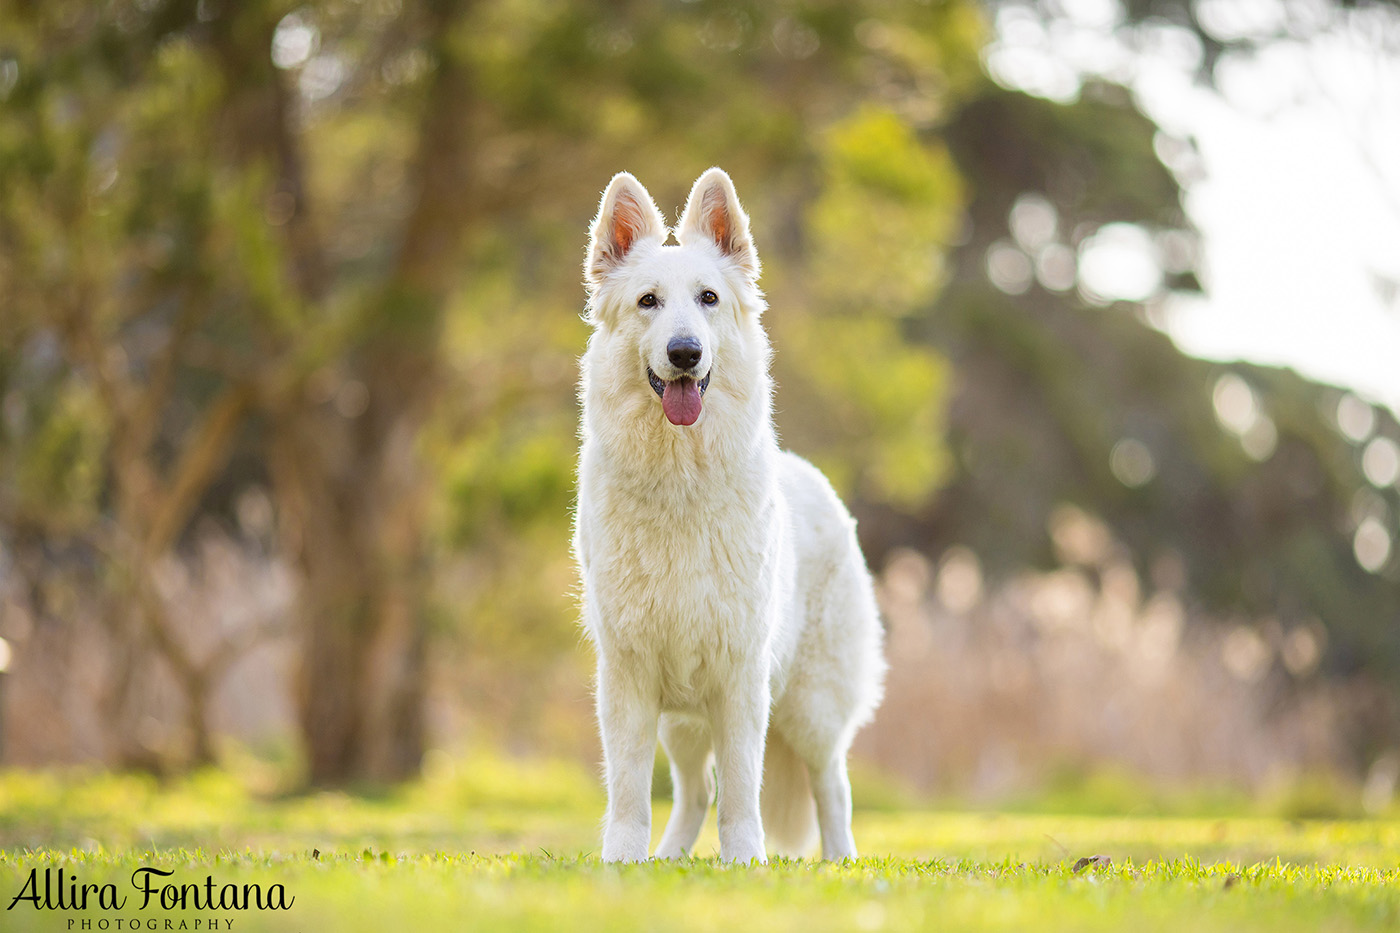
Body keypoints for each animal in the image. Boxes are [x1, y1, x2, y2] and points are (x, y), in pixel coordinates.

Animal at [571, 168, 879, 862]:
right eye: (649, 302)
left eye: (708, 298)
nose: (685, 352)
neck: (680, 480)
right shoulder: (628, 678)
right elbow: (629, 788)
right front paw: (621, 862)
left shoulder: (741, 680)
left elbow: (743, 787)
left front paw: (745, 862)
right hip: (683, 724)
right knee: (694, 792)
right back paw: (667, 861)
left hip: (810, 707)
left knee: (834, 785)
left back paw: (842, 862)